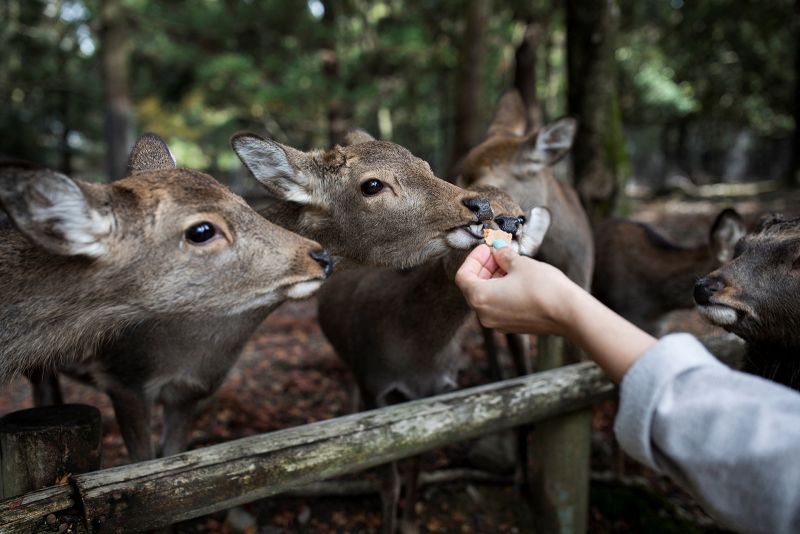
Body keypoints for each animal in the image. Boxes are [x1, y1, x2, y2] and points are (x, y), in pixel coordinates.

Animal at [316, 185, 552, 534]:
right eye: (482, 211)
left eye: (521, 216)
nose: (511, 224)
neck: (416, 355)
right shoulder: (374, 382)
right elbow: (389, 482)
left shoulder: (432, 391)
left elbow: (418, 458)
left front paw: (410, 522)